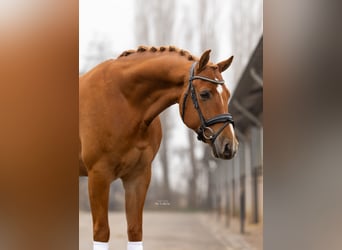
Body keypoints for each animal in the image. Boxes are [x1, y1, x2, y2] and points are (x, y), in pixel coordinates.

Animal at [78, 46, 238, 249]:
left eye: (228, 94)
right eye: (204, 94)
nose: (229, 145)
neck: (124, 102)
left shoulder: (138, 176)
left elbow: (135, 230)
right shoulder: (98, 175)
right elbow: (101, 232)